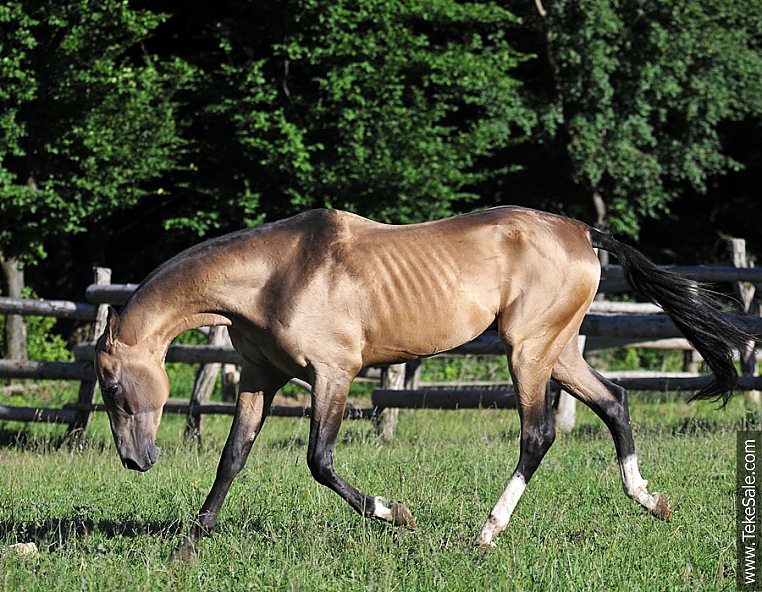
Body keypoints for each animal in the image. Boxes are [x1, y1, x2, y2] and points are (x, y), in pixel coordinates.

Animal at [92, 207, 744, 560]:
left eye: (114, 388)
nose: (135, 460)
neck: (274, 276)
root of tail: (585, 234)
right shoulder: (260, 379)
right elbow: (231, 458)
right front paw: (189, 545)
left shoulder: (333, 375)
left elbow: (319, 461)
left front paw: (395, 513)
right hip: (556, 351)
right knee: (616, 402)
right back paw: (650, 500)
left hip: (528, 352)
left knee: (537, 435)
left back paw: (486, 533)